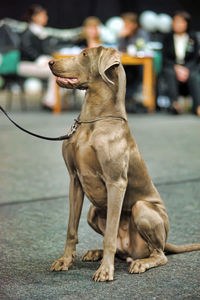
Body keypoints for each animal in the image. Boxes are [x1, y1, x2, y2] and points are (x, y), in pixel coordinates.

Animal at [48, 46, 200, 282]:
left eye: (84, 54)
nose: (50, 62)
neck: (93, 121)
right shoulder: (74, 179)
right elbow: (71, 229)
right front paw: (65, 261)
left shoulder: (116, 182)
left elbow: (110, 234)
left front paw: (105, 270)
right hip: (93, 211)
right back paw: (96, 253)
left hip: (143, 209)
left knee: (159, 254)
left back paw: (139, 263)